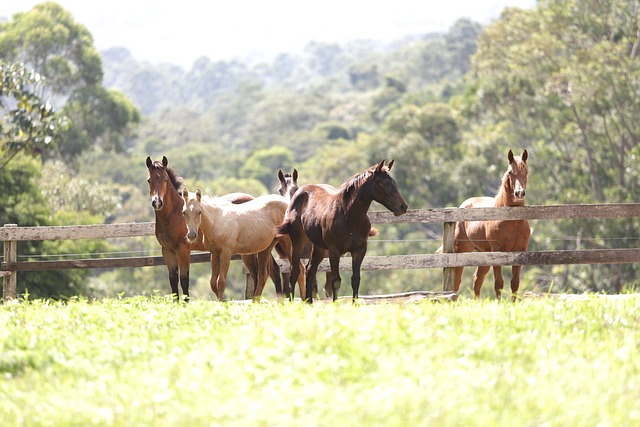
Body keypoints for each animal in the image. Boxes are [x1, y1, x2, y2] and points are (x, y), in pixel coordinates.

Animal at [276, 160, 408, 304]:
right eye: (385, 183)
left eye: (393, 181)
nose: (403, 206)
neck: (348, 216)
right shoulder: (334, 251)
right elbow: (336, 281)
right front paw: (335, 305)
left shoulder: (359, 250)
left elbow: (355, 279)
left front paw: (354, 304)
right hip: (298, 240)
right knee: (295, 271)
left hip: (319, 247)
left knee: (310, 269)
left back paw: (310, 302)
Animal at [452, 150, 532, 300]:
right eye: (510, 172)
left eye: (526, 171)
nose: (519, 193)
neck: (512, 221)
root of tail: (465, 203)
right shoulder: (497, 251)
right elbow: (499, 284)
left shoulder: (520, 251)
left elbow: (515, 283)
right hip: (461, 249)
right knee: (457, 279)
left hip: (484, 254)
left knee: (477, 280)